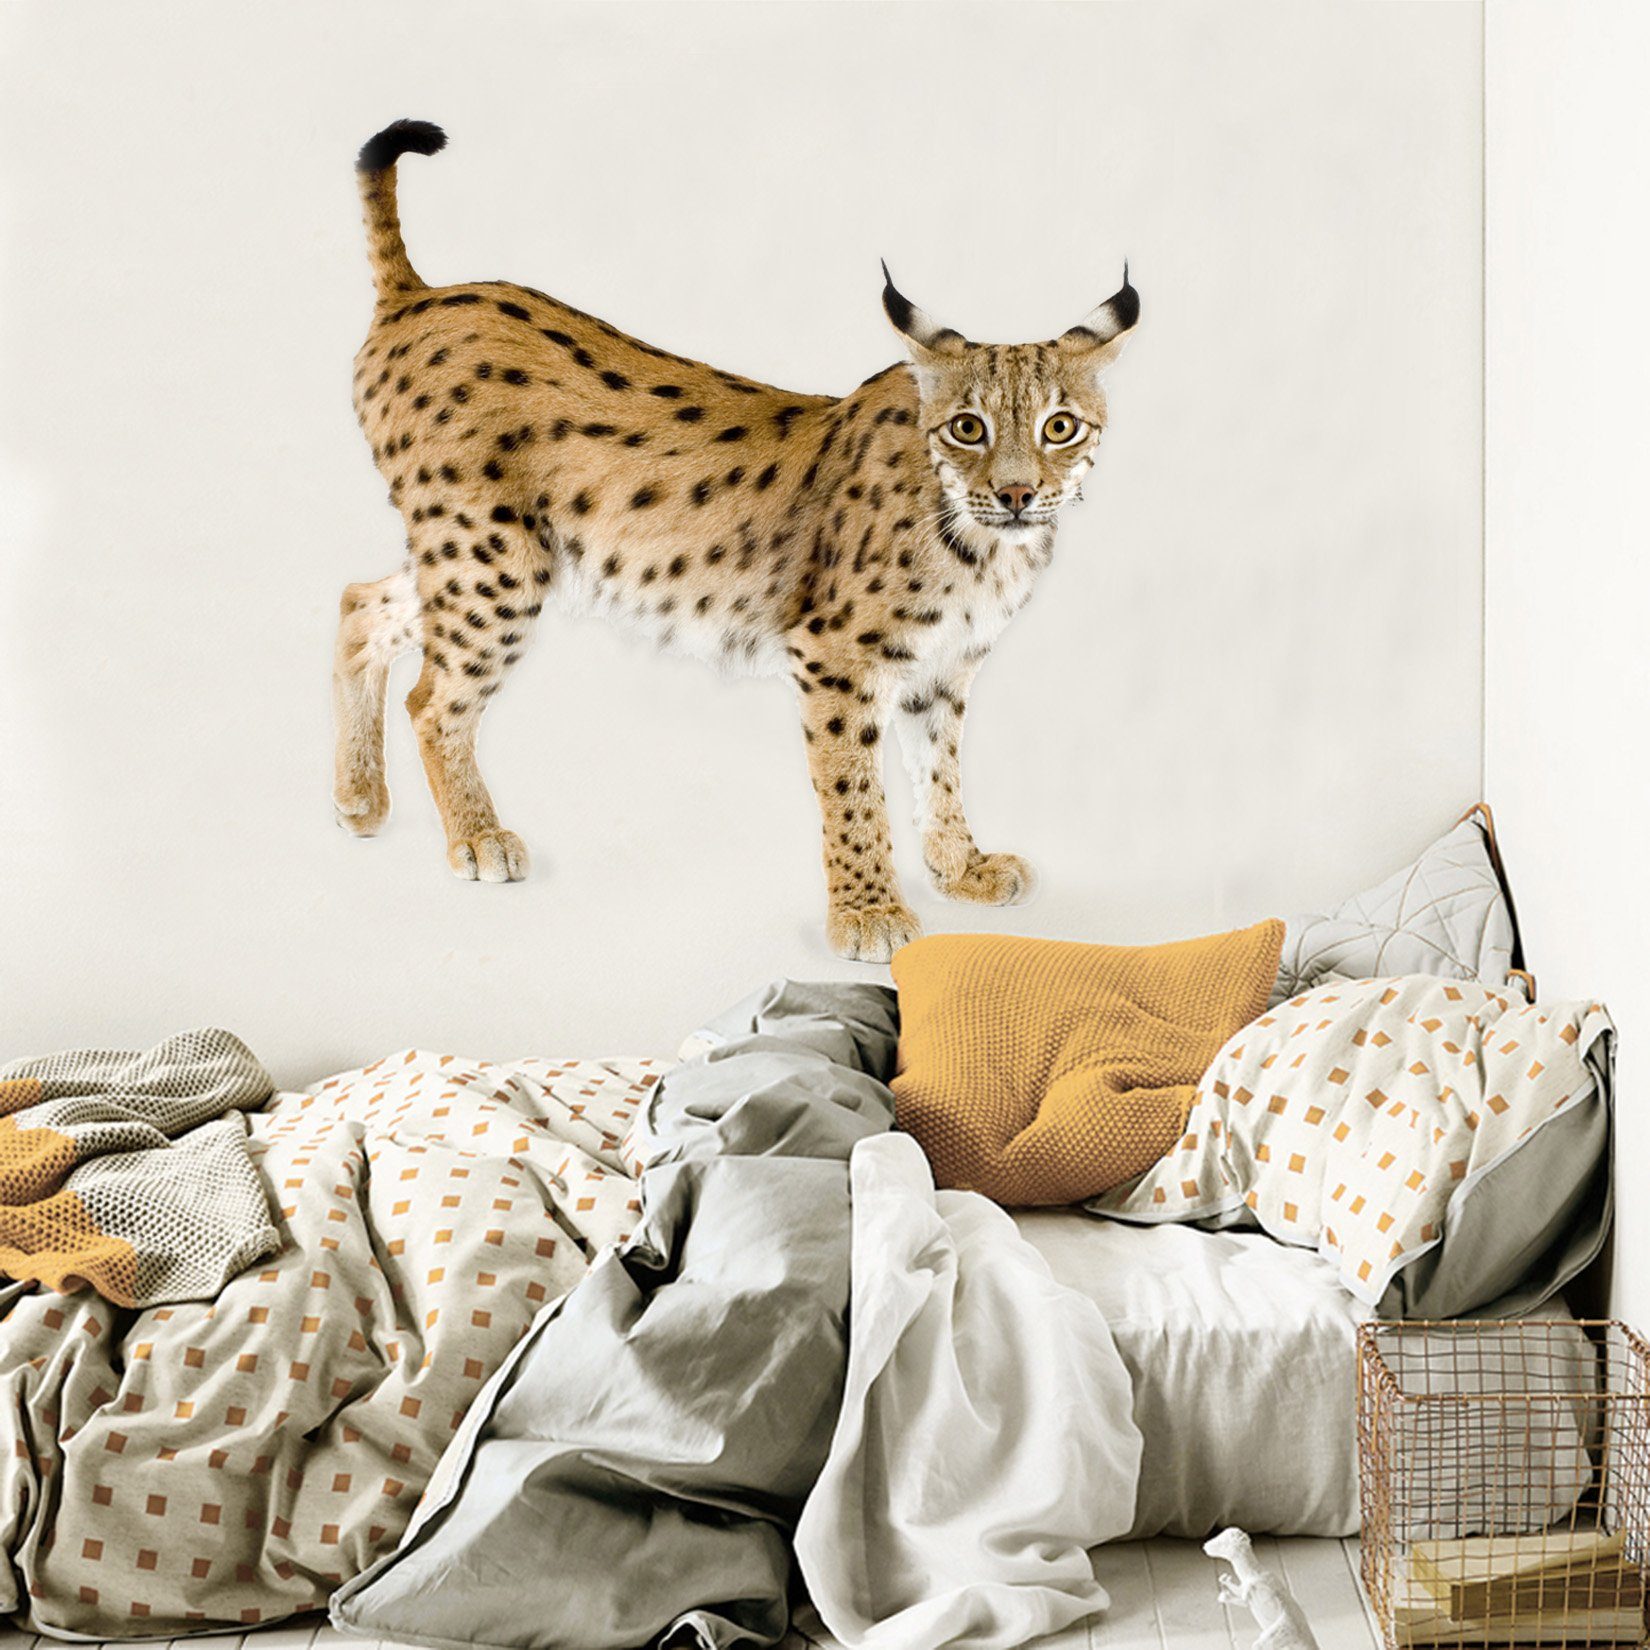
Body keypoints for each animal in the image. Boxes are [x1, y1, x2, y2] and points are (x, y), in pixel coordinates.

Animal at [334, 119, 1139, 963]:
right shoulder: (834, 655)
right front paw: (867, 913)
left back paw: (358, 799)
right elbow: (855, 785)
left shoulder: (943, 664)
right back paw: (477, 835)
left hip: (481, 552)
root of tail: (422, 295)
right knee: (431, 697)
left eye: (1060, 427)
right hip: (495, 559)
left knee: (360, 600)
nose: (1018, 495)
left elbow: (939, 770)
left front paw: (960, 868)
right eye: (968, 429)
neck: (983, 542)